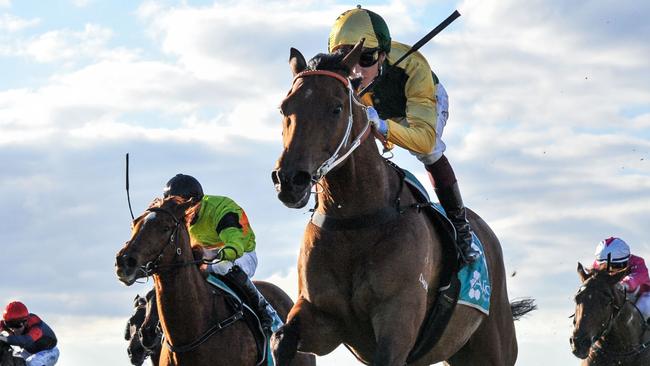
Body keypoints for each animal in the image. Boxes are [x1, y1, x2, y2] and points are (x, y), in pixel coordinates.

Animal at [268, 41, 528, 364]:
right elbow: (282, 338)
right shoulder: (321, 316)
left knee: (432, 151)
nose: (290, 180)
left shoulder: (398, 318)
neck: (354, 219)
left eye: (336, 108)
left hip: (492, 346)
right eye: (284, 107)